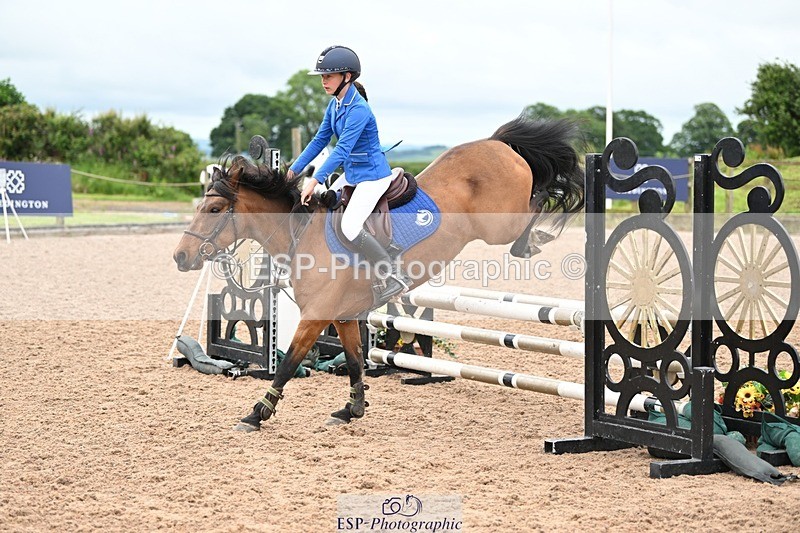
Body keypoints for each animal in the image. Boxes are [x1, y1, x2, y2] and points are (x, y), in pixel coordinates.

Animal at [173, 116, 584, 431]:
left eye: (214, 210)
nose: (180, 256)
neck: (301, 233)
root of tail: (496, 143)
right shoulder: (342, 315)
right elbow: (355, 359)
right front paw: (351, 409)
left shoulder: (316, 315)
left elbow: (288, 363)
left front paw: (258, 413)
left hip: (499, 224)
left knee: (535, 204)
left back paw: (536, 237)